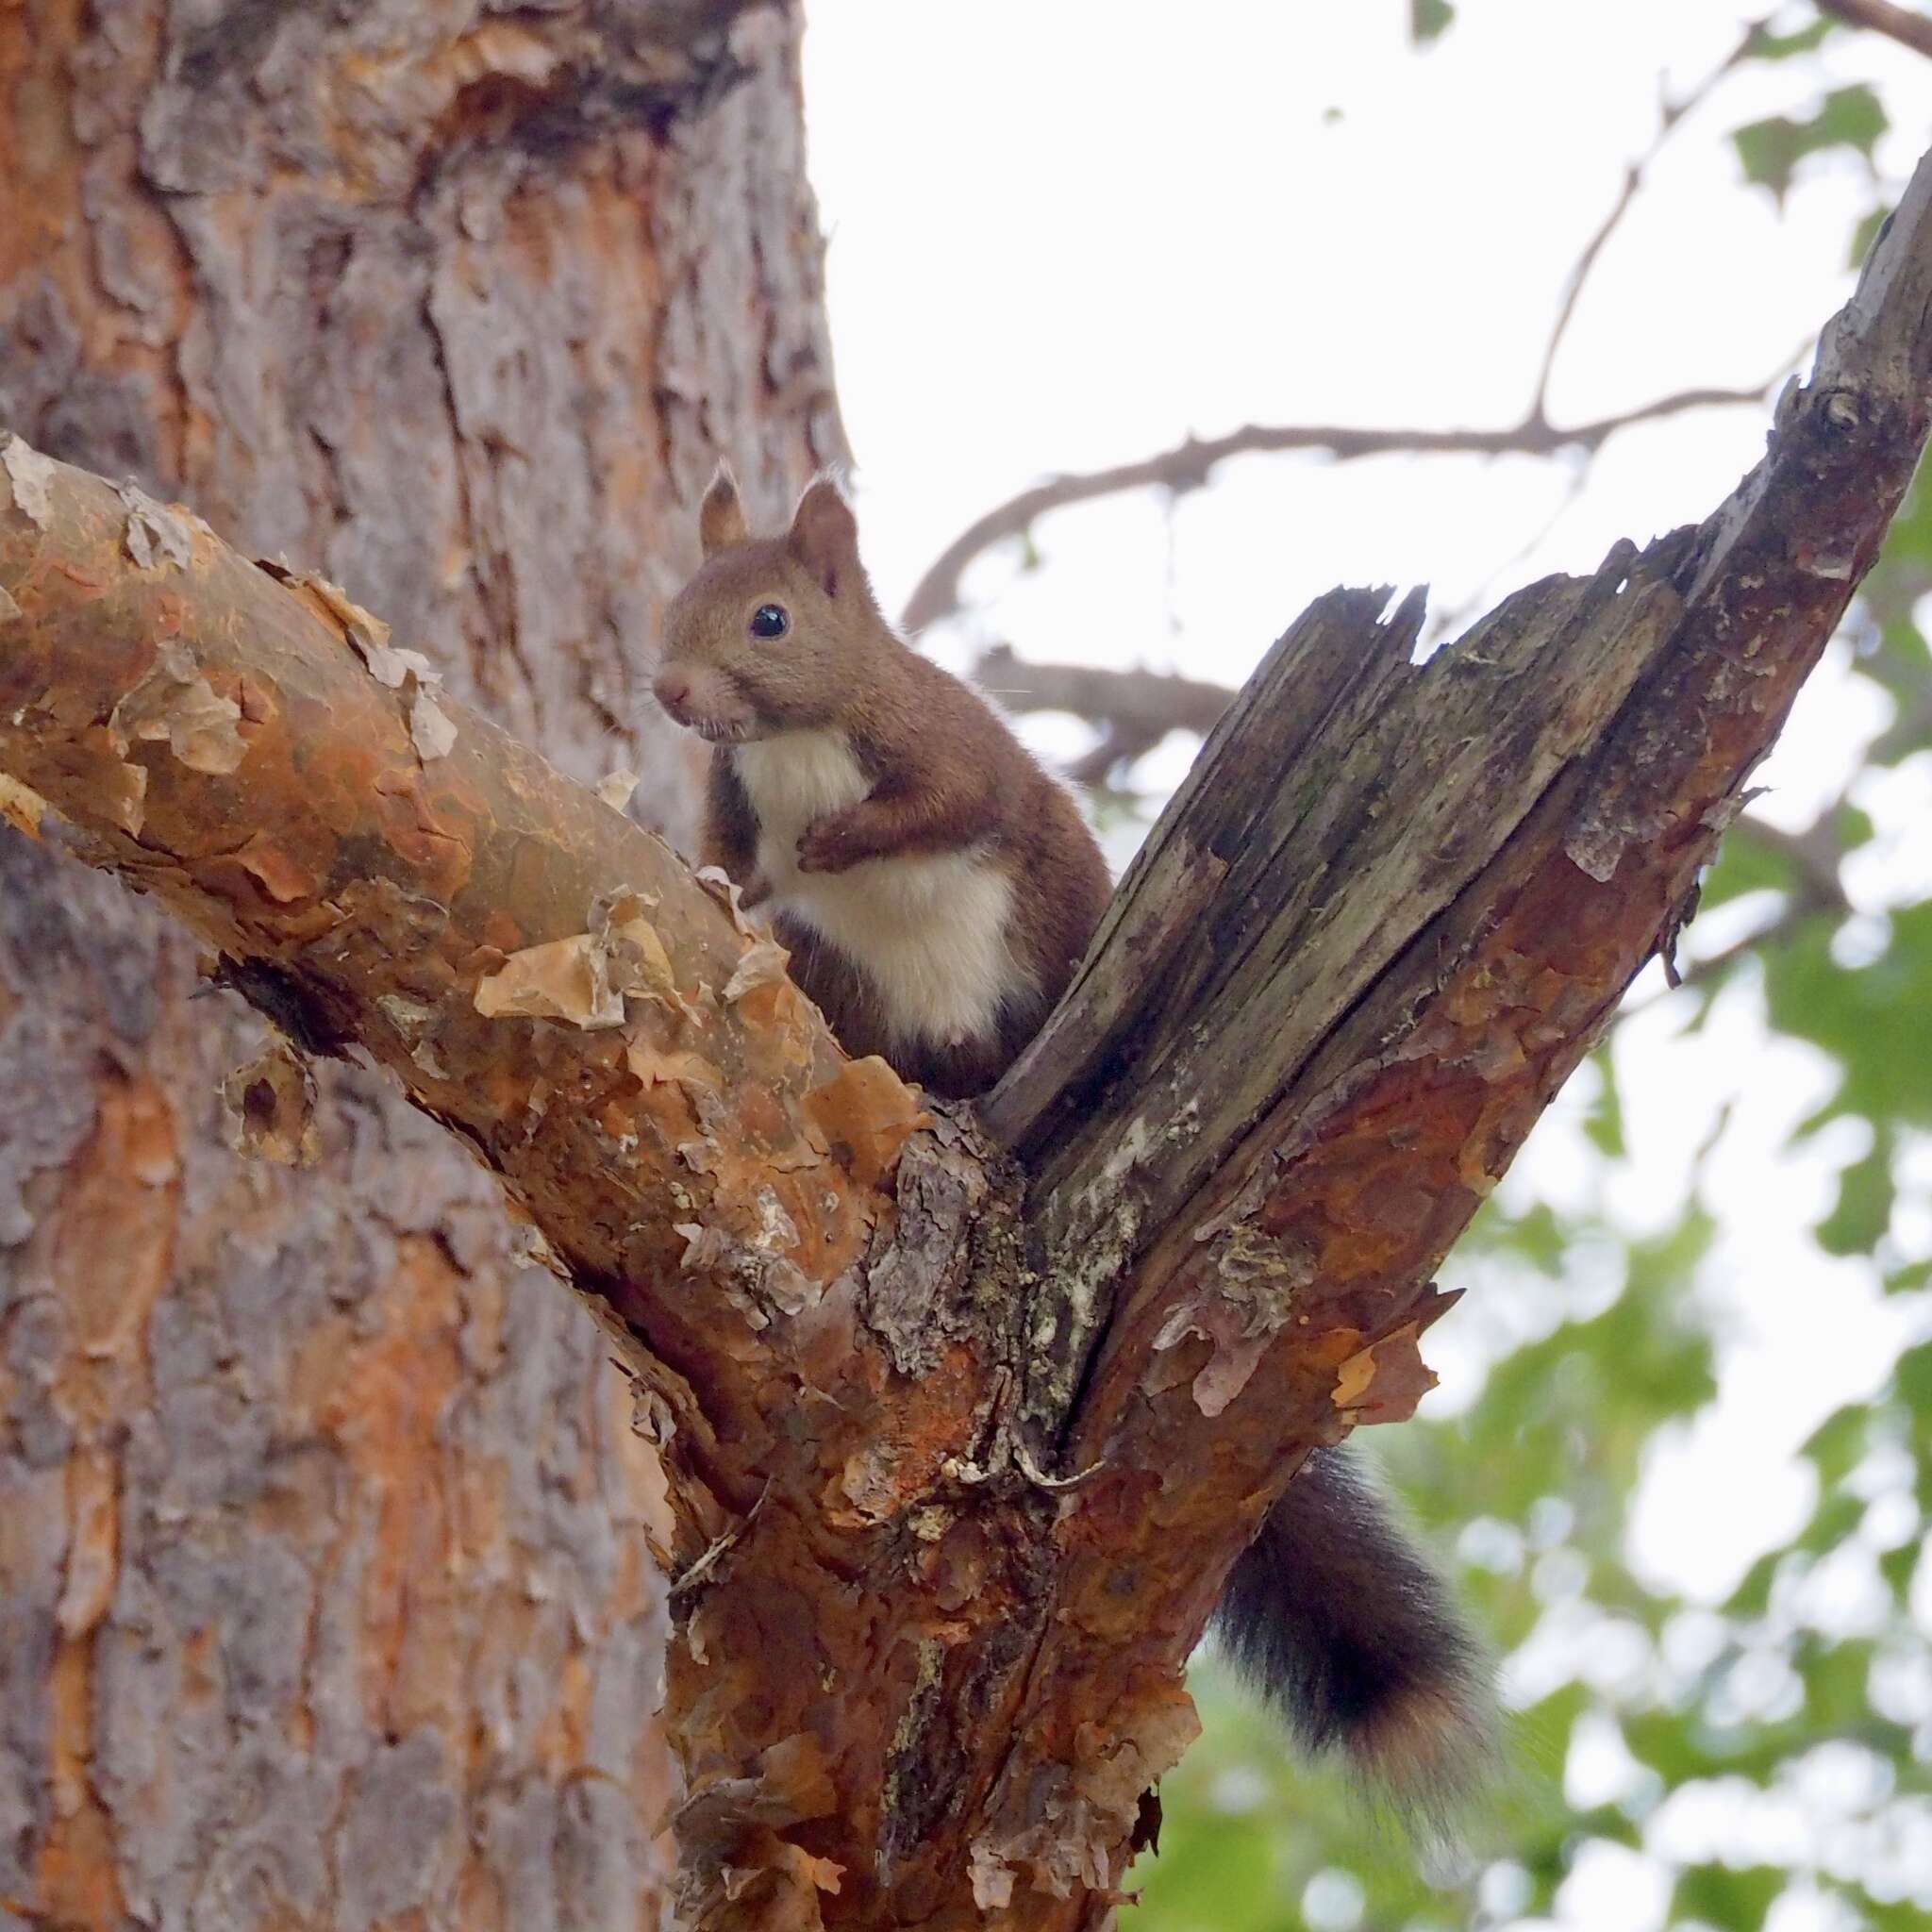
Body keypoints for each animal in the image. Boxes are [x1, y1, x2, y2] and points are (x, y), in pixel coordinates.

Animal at [649, 467, 1491, 1807]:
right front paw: (726, 878)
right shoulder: (739, 802)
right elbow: (734, 861)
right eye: (679, 601)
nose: (672, 693)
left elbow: (946, 803)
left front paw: (839, 841)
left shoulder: (941, 740)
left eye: (770, 620)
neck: (792, 744)